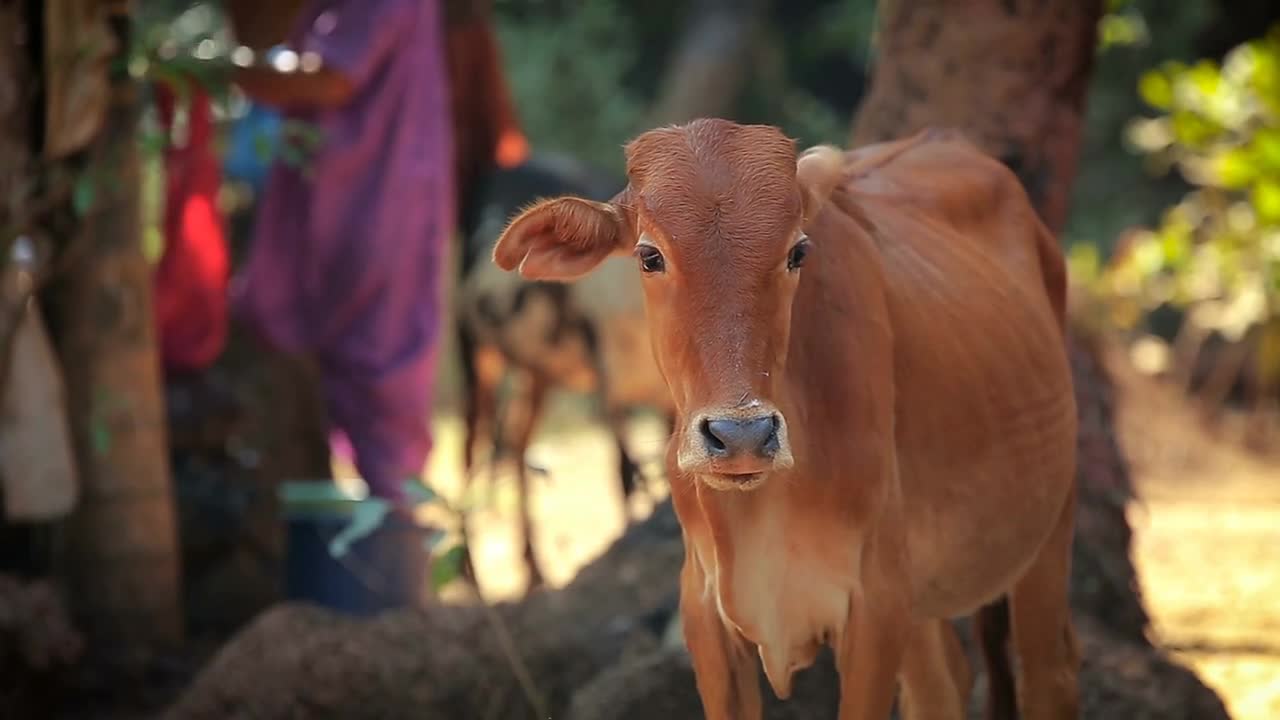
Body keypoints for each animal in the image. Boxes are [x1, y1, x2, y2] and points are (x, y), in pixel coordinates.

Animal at [494, 119, 1075, 717]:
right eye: (649, 256)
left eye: (797, 252)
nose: (741, 436)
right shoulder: (706, 615)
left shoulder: (875, 608)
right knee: (943, 686)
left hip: (1048, 531)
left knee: (1048, 673)